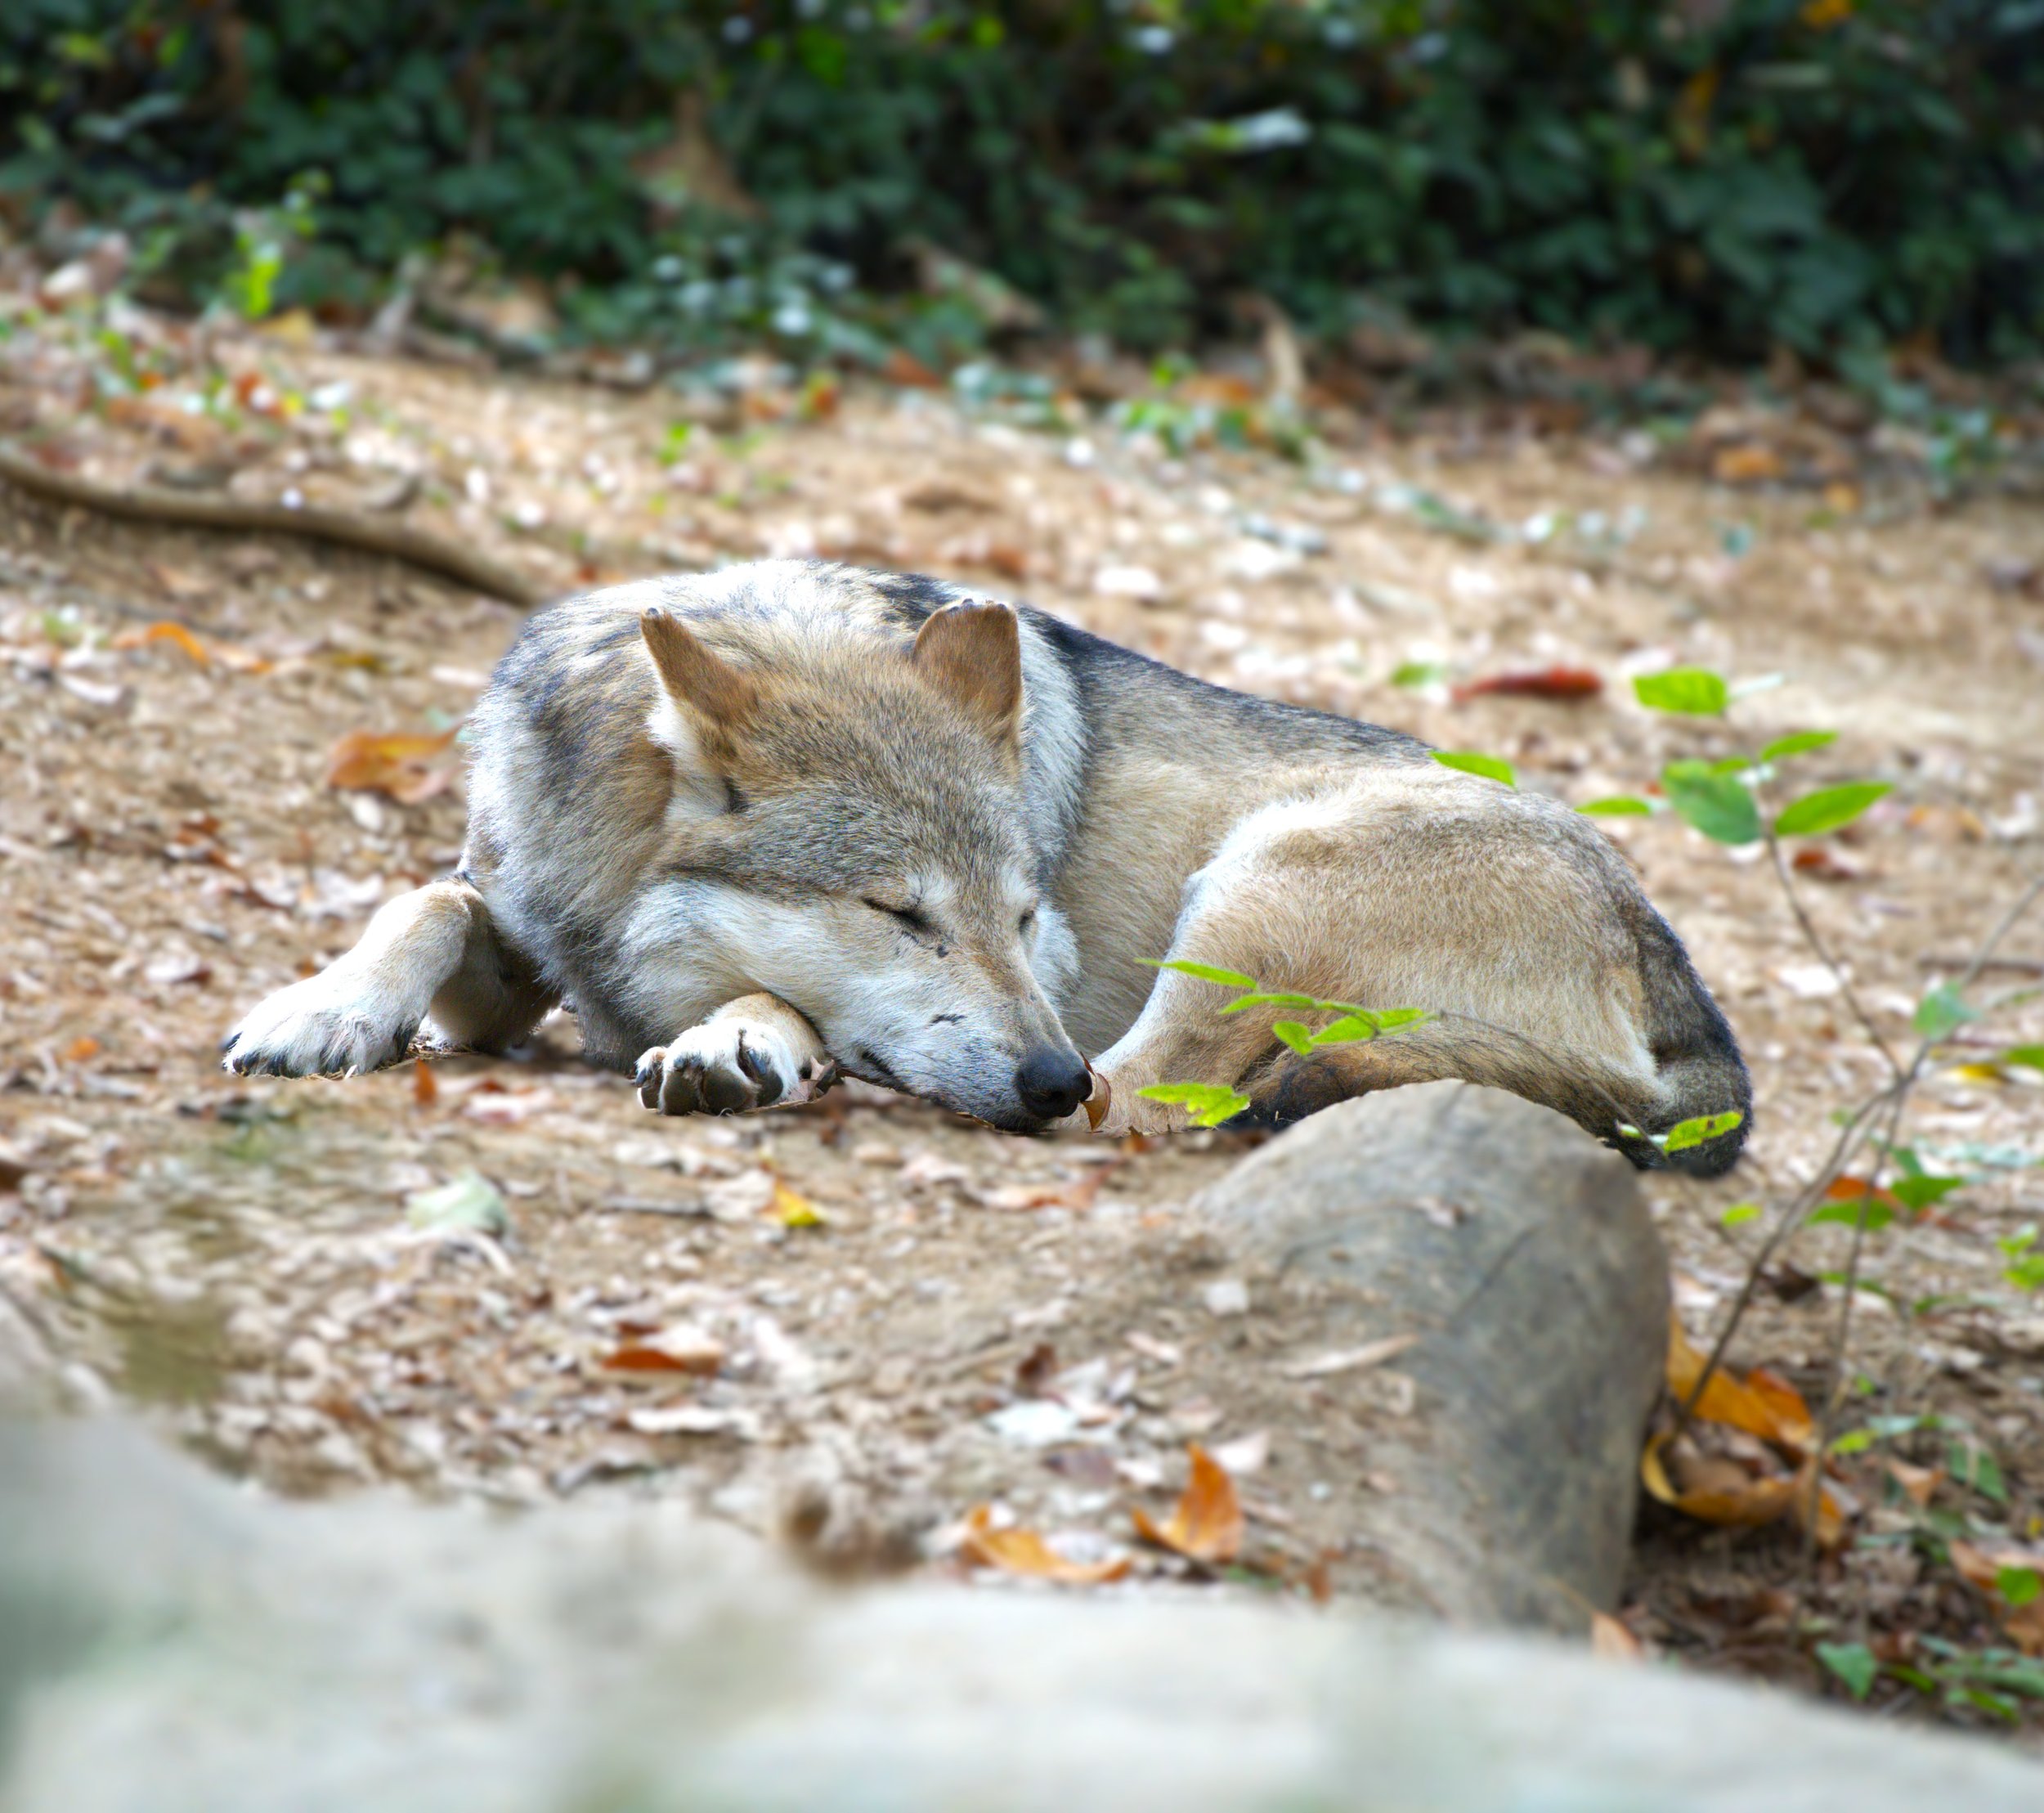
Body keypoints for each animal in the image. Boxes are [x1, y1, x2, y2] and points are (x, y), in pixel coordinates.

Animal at [223, 560, 1750, 1174]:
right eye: (900, 913)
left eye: (1025, 916)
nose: (1044, 1075)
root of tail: (1681, 979)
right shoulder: (522, 920)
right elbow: (425, 895)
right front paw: (321, 1006)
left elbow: (774, 999)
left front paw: (742, 1041)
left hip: (1255, 879)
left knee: (1157, 1097)